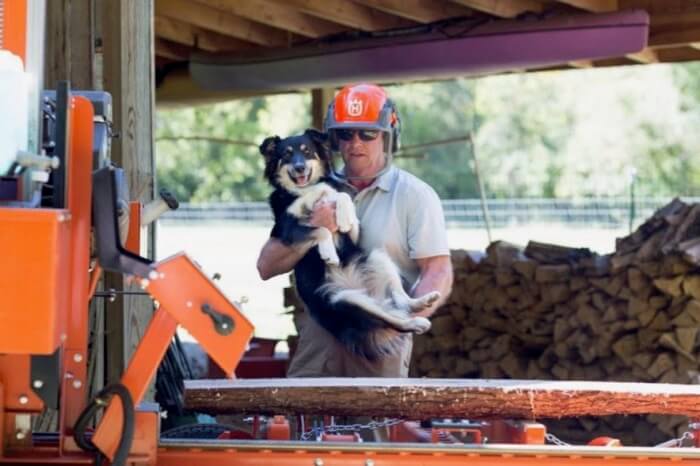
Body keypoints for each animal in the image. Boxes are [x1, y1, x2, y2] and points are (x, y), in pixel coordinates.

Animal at [260, 129, 440, 358]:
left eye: (307, 151)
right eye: (287, 154)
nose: (300, 167)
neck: (307, 190)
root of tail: (369, 294)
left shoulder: (353, 233)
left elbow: (342, 197)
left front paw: (344, 217)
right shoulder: (285, 229)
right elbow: (321, 229)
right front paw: (329, 253)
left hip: (376, 257)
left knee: (401, 301)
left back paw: (422, 303)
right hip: (345, 301)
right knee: (391, 320)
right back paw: (416, 322)